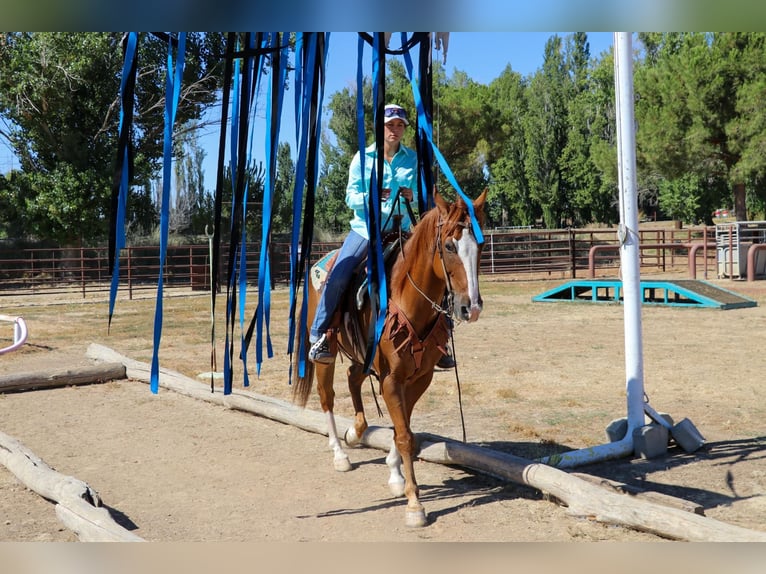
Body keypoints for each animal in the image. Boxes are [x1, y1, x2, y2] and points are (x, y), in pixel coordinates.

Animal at [293, 188, 487, 527]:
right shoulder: (392, 379)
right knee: (327, 396)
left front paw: (396, 476)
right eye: (450, 246)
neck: (406, 297)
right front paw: (414, 504)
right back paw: (340, 453)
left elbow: (402, 429)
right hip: (325, 355)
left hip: (364, 357)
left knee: (352, 378)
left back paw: (355, 432)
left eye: (481, 245)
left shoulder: (419, 377)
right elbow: (405, 436)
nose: (471, 307)